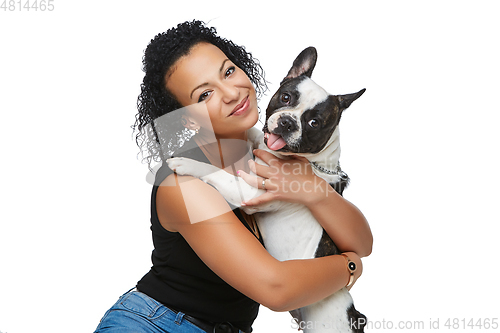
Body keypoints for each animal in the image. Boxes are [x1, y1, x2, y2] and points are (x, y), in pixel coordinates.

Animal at [168, 47, 368, 332]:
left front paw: (187, 163)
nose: (287, 122)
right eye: (286, 97)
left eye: (314, 123)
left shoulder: (253, 193)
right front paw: (253, 133)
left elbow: (219, 174)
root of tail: (354, 315)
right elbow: (255, 137)